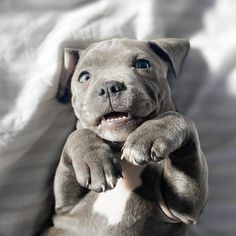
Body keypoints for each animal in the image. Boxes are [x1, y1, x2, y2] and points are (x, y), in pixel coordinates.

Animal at [45, 38, 207, 236]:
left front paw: (147, 136)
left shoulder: (184, 208)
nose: (108, 87)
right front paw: (94, 161)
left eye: (143, 64)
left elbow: (180, 119)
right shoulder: (64, 206)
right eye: (83, 77)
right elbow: (76, 134)